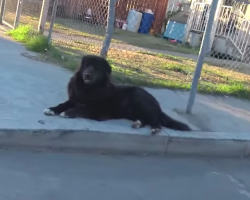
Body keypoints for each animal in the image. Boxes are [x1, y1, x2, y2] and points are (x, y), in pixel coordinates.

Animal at [44, 54, 191, 134]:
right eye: (87, 65)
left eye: (96, 68)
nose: (87, 74)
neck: (89, 88)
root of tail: (157, 105)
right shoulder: (74, 98)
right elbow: (64, 104)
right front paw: (52, 109)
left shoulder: (98, 111)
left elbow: (81, 108)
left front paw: (68, 113)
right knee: (146, 120)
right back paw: (138, 124)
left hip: (139, 97)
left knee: (157, 121)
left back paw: (154, 129)